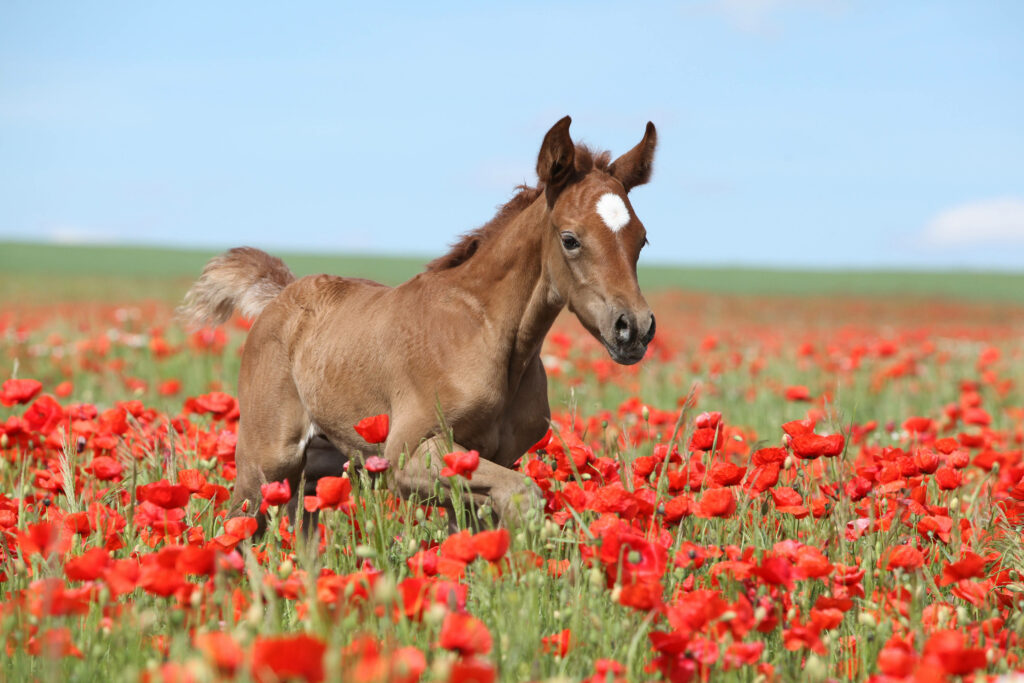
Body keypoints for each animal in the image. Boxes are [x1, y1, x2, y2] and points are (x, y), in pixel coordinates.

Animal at [179, 116, 658, 529]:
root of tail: (279, 297)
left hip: (322, 465)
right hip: (266, 464)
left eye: (642, 238)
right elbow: (523, 494)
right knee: (238, 526)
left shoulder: (486, 460)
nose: (633, 328)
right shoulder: (408, 454)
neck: (487, 334)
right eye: (570, 239)